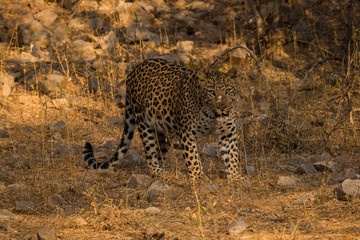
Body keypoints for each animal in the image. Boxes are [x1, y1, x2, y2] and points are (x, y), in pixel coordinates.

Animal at [83, 58, 240, 180]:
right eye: (212, 92)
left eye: (228, 90)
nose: (223, 107)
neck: (212, 116)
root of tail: (134, 70)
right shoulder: (187, 133)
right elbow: (193, 157)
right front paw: (199, 177)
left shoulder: (228, 133)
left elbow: (232, 156)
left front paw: (236, 178)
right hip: (144, 122)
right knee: (150, 152)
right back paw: (157, 171)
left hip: (164, 129)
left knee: (160, 151)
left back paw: (165, 169)